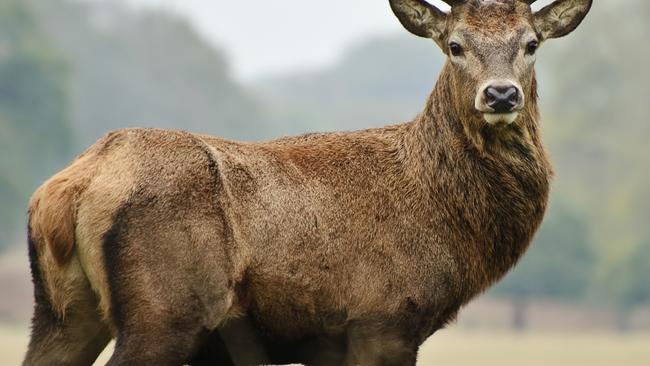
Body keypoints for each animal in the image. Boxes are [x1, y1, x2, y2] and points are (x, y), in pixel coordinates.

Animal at [22, 0, 588, 364]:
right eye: (454, 44)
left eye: (531, 43)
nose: (500, 94)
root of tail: (69, 187)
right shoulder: (384, 316)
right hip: (164, 308)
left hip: (61, 310)